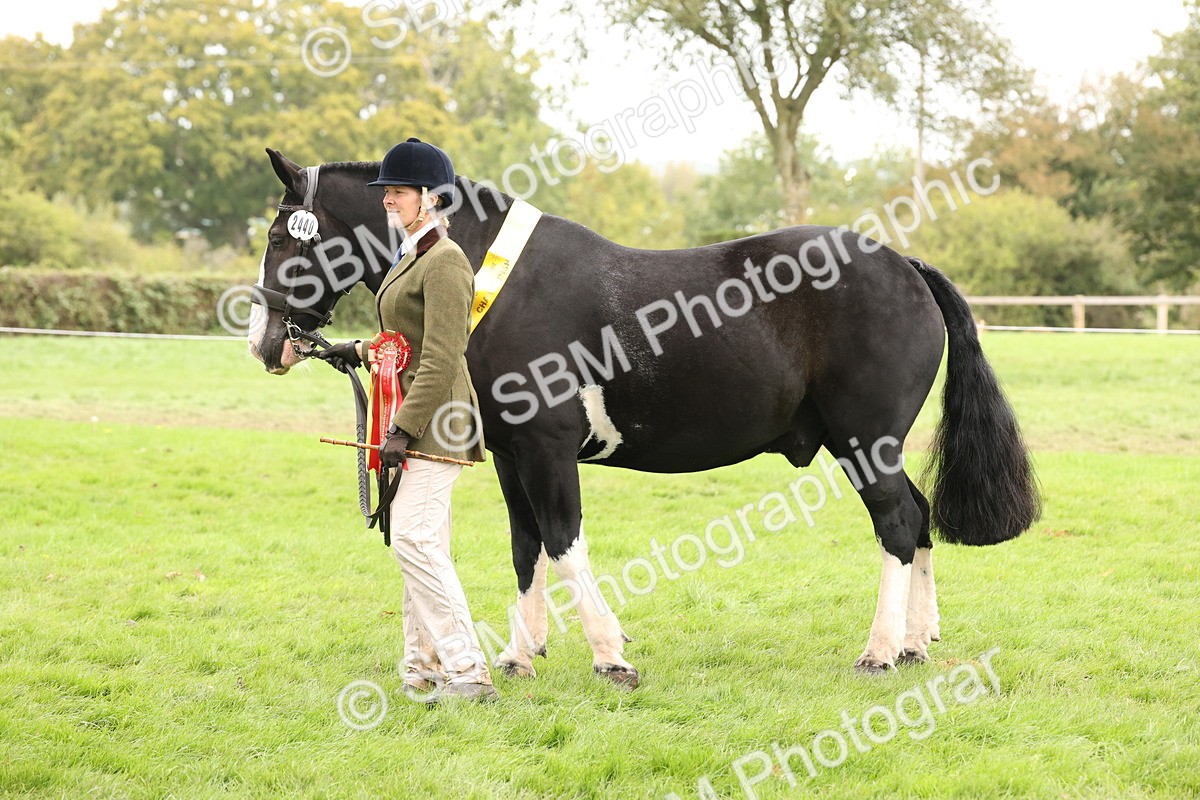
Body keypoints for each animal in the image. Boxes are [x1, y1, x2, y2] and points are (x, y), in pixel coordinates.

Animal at [248, 149, 1040, 687]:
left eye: (283, 238)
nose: (264, 340)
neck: (489, 277)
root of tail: (906, 266)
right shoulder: (510, 454)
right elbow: (526, 548)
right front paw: (518, 654)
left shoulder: (548, 448)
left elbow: (564, 543)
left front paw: (608, 654)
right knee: (920, 514)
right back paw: (915, 640)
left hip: (865, 441)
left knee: (899, 524)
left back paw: (878, 651)